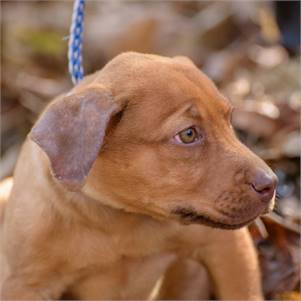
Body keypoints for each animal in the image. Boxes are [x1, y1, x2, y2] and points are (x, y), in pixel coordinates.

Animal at [0, 52, 276, 298]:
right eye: (188, 134)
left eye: (229, 120)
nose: (271, 184)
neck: (123, 218)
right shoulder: (24, 284)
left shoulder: (225, 246)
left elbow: (243, 293)